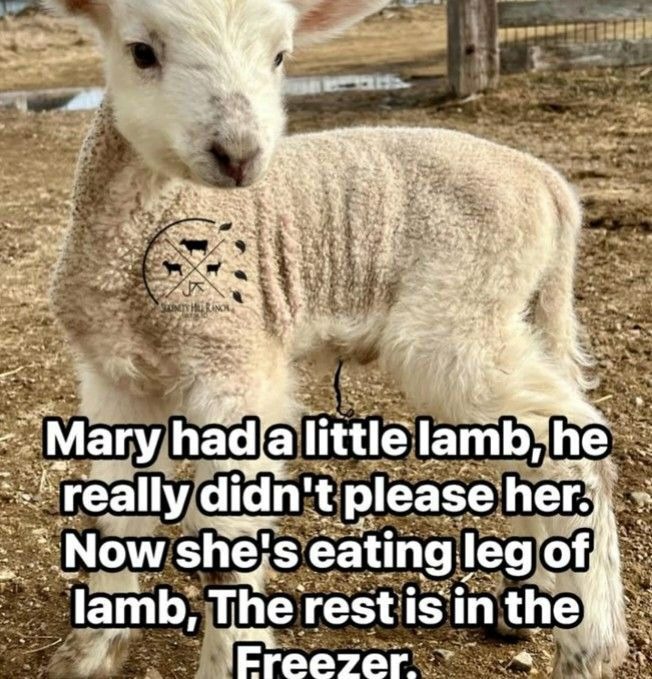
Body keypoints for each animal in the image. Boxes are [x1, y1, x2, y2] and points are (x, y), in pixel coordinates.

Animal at [45, 0, 626, 678]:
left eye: (281, 56)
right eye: (141, 52)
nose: (240, 154)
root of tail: (548, 184)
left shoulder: (237, 360)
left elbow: (225, 544)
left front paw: (225, 662)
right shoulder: (114, 373)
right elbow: (113, 518)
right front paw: (91, 653)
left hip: (458, 312)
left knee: (569, 446)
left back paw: (591, 649)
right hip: (511, 308)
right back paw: (522, 608)